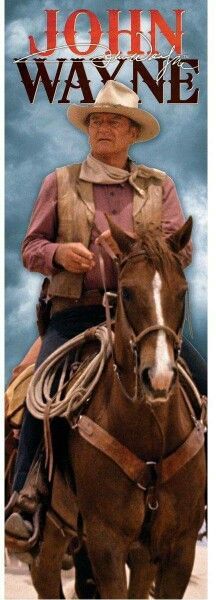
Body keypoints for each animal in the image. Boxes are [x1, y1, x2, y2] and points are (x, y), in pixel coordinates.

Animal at [30, 217, 206, 600]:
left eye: (183, 292)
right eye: (126, 292)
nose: (158, 377)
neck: (151, 433)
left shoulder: (179, 547)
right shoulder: (105, 542)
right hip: (53, 527)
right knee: (45, 574)